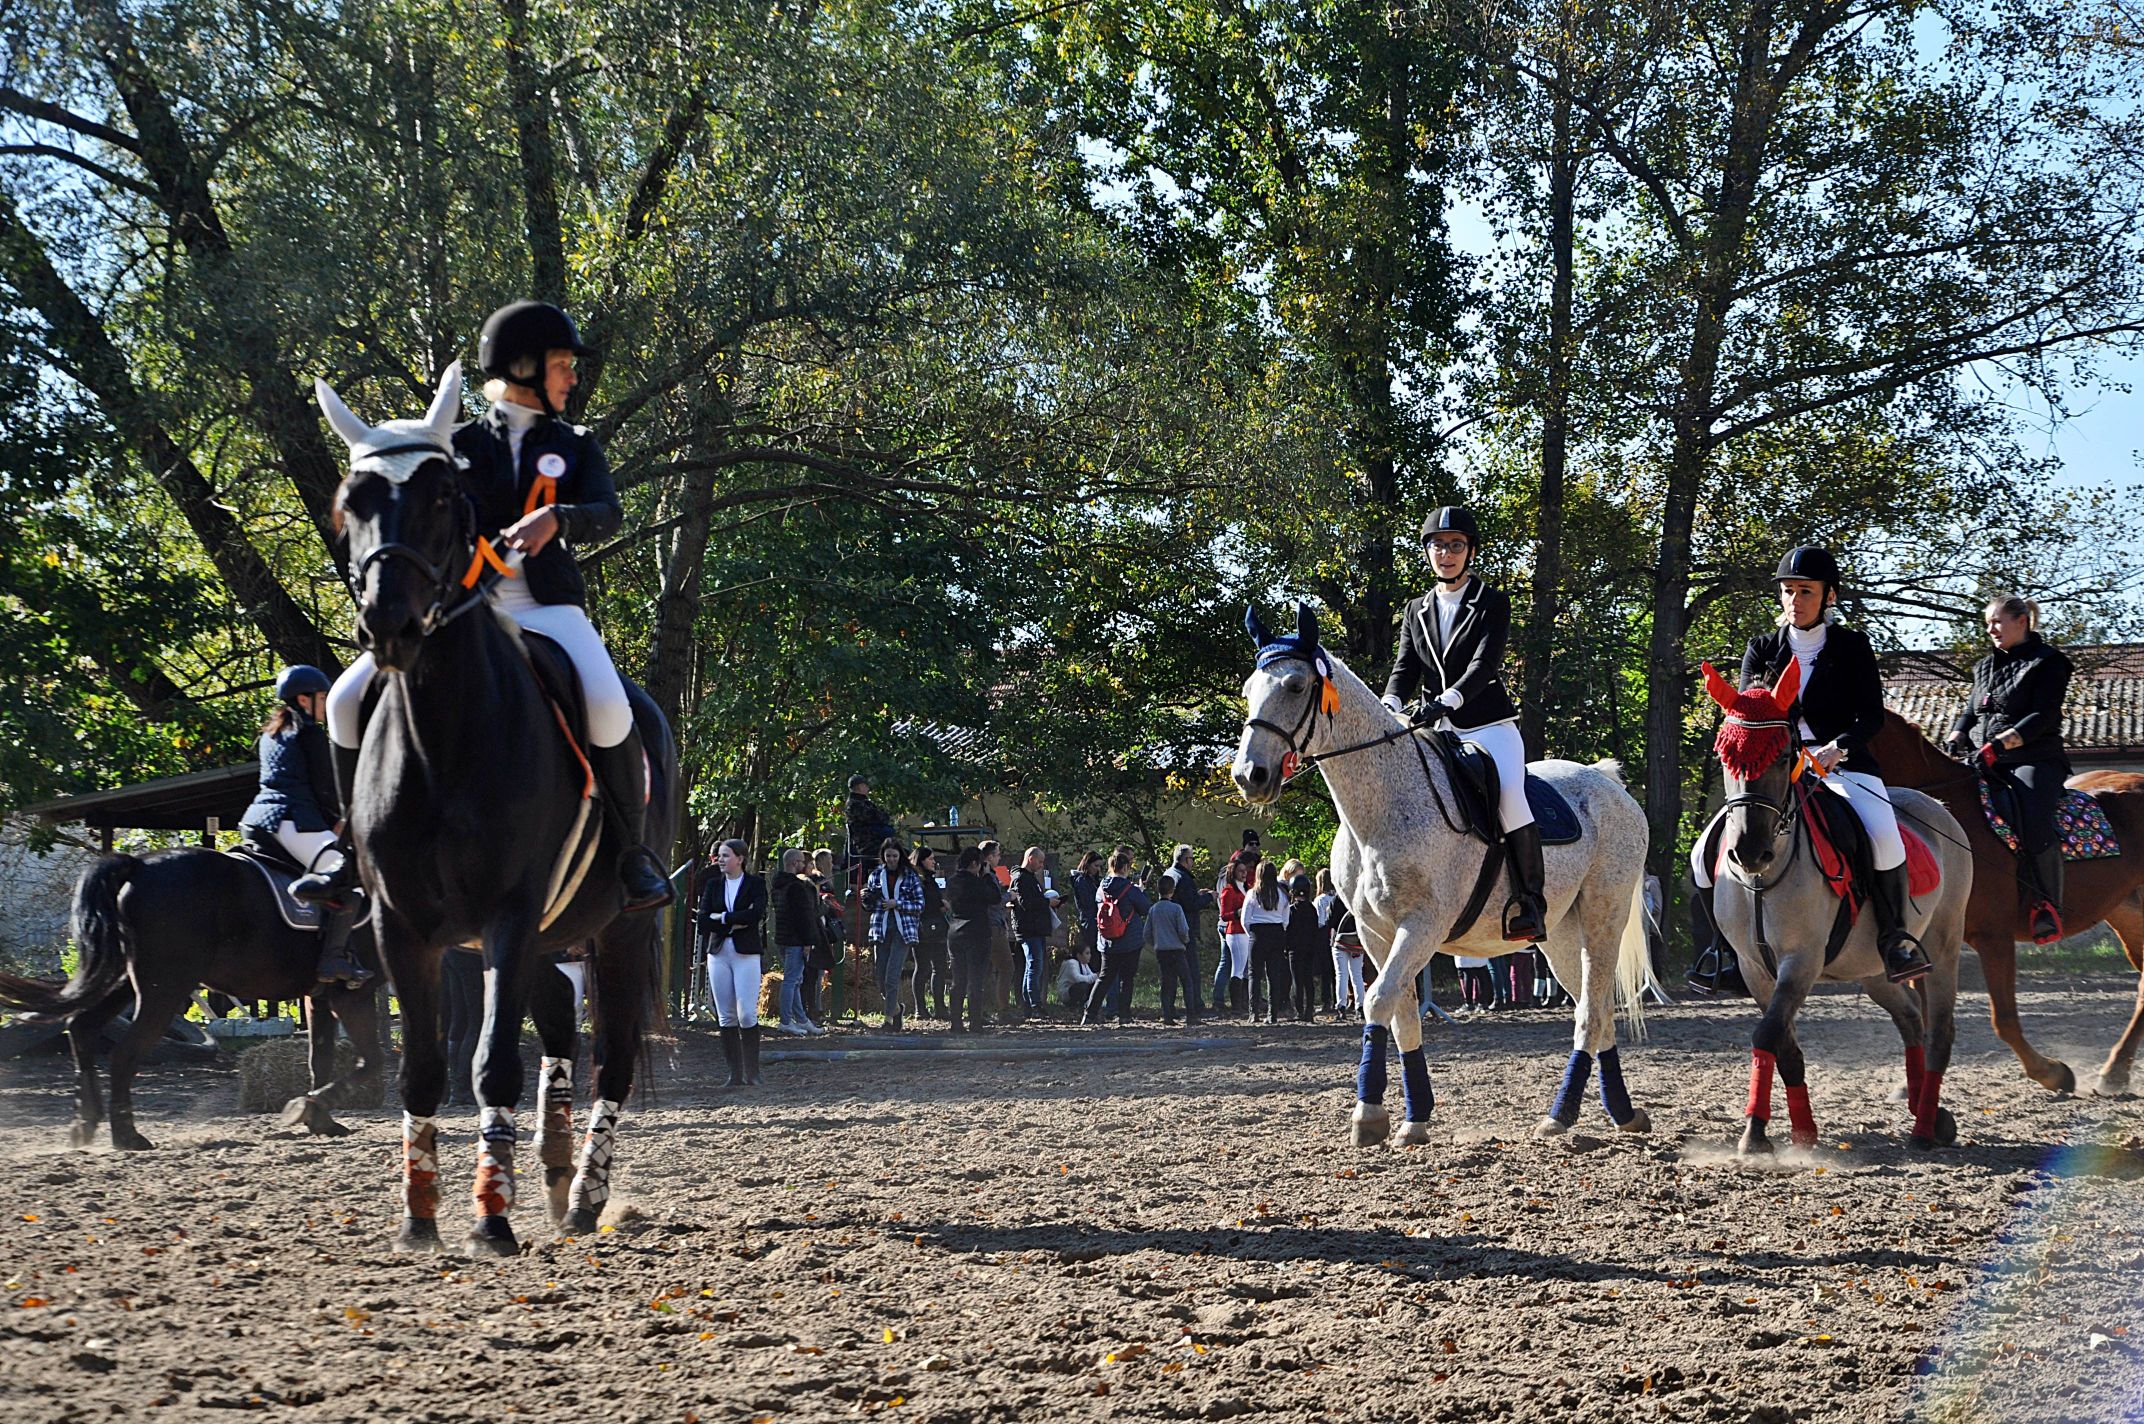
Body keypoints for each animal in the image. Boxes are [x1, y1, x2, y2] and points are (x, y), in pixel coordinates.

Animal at [0, 844, 381, 1149]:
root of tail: (140, 866)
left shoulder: (319, 997)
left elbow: (321, 1060)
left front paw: (319, 1119)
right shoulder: (353, 993)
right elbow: (370, 1063)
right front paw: (306, 1109)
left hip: (127, 981)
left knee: (83, 1026)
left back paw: (85, 1124)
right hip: (165, 987)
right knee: (124, 1053)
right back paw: (127, 1137)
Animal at [1234, 600, 1646, 1149]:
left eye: (1297, 686)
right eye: (1247, 690)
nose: (1249, 776)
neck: (1382, 807)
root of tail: (1607, 781)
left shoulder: (1423, 925)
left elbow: (1377, 1000)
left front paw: (1368, 1114)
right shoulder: (1374, 932)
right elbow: (1403, 1016)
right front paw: (1412, 1119)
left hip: (1604, 916)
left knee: (1592, 1012)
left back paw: (1562, 1115)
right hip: (1560, 934)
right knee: (1596, 1009)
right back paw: (1620, 1112)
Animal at [1698, 669, 1963, 1158]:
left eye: (1784, 755)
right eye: (1726, 757)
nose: (1749, 852)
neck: (1765, 877)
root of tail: (1938, 808)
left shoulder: (1801, 961)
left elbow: (1767, 1034)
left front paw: (1754, 1134)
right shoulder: (1753, 967)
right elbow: (1784, 1045)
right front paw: (1802, 1133)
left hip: (1944, 945)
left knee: (1939, 1029)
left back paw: (1924, 1129)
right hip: (1873, 969)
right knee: (1910, 1019)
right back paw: (1925, 1110)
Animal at [1860, 707, 2144, 1089]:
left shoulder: (1994, 937)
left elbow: (2004, 1020)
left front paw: (2052, 1073)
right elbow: (1929, 1018)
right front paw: (1912, 1085)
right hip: (2128, 914)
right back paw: (2115, 1072)